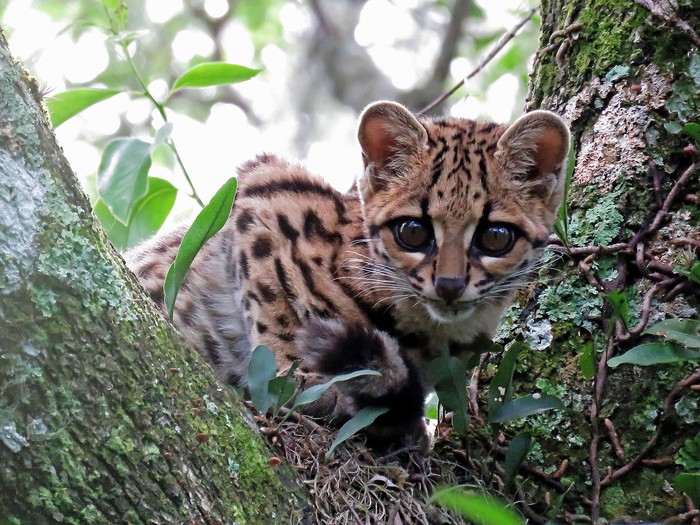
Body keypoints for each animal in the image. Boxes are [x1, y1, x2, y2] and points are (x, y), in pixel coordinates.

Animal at [127, 101, 568, 446]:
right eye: (412, 232)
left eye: (496, 237)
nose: (449, 285)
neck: (430, 334)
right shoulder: (265, 190)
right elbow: (277, 312)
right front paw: (292, 376)